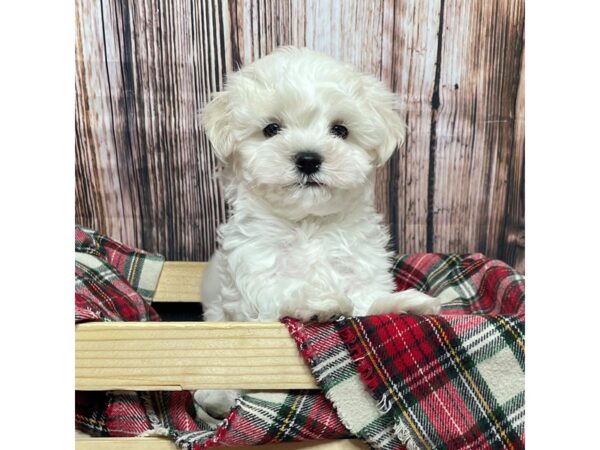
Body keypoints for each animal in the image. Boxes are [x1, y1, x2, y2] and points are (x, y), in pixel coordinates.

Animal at [195, 47, 438, 420]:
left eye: (340, 130)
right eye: (271, 129)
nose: (308, 159)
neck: (308, 224)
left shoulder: (360, 268)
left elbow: (366, 303)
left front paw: (402, 305)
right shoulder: (253, 279)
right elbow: (281, 292)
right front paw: (318, 302)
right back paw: (216, 399)